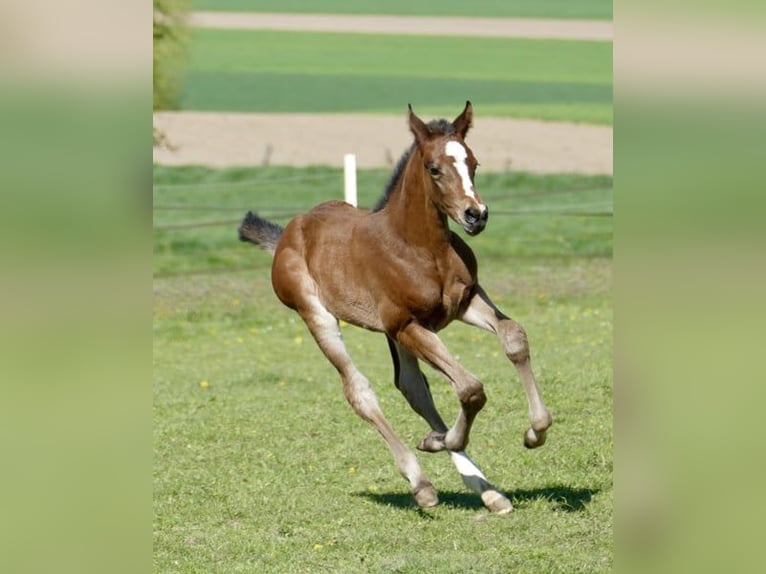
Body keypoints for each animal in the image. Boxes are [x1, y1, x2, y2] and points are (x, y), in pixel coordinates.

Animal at [239, 102, 552, 513]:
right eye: (434, 168)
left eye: (474, 163)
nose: (476, 215)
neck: (422, 248)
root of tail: (290, 231)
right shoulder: (407, 323)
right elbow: (470, 387)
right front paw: (440, 441)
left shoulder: (464, 303)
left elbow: (513, 338)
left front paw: (535, 432)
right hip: (319, 315)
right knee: (361, 391)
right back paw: (422, 482)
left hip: (395, 332)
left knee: (413, 387)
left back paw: (486, 489)